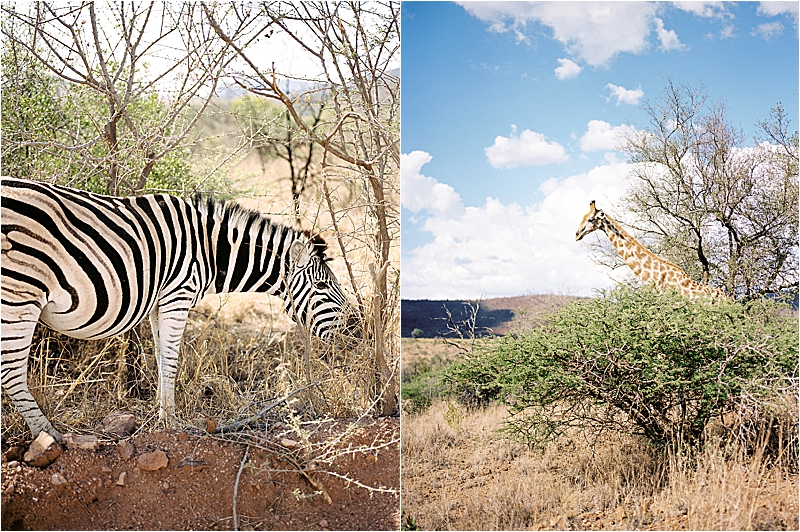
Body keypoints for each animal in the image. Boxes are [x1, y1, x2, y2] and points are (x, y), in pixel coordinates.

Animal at [1, 177, 358, 440]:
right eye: (322, 286)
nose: (354, 327)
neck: (209, 249)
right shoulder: (178, 295)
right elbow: (172, 362)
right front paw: (172, 424)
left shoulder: (159, 302)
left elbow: (161, 360)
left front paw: (162, 418)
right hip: (19, 292)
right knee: (11, 373)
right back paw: (48, 435)